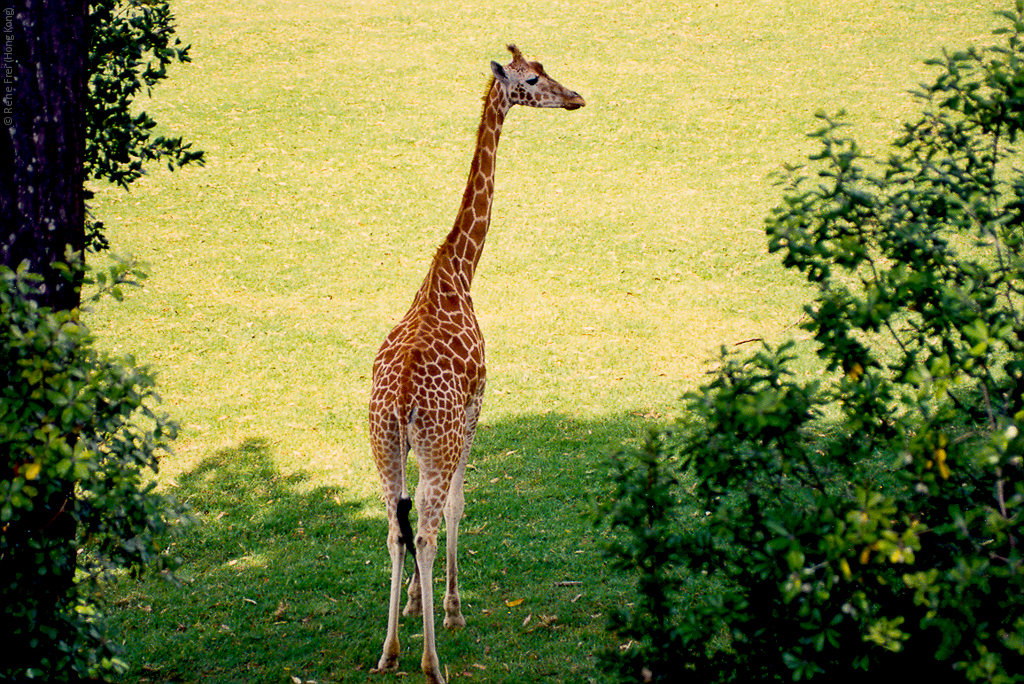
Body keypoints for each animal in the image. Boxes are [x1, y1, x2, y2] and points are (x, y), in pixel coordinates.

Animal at [368, 45, 585, 679]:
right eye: (533, 79)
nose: (575, 97)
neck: (457, 272)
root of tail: (401, 402)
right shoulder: (475, 408)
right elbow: (461, 507)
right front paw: (451, 607)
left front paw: (414, 604)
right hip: (436, 441)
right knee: (426, 528)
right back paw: (431, 662)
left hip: (384, 446)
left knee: (395, 530)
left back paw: (390, 651)